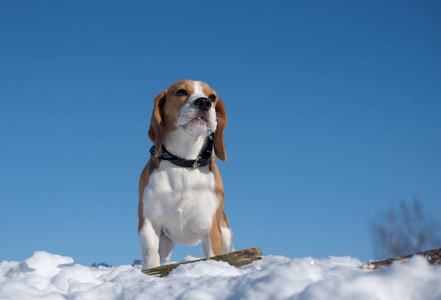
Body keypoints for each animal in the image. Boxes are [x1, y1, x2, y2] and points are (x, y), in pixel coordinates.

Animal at [138, 79, 234, 270]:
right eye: (181, 92)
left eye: (212, 96)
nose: (204, 102)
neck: (184, 161)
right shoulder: (148, 222)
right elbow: (151, 257)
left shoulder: (210, 227)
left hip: (226, 232)